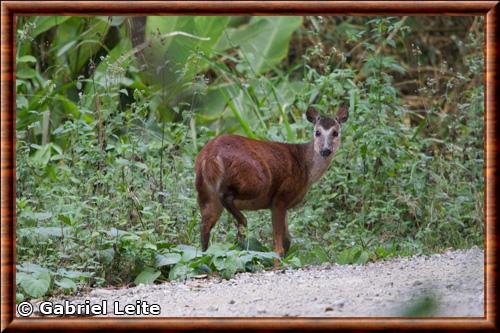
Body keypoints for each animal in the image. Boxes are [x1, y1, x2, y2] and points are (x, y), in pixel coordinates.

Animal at [195, 105, 348, 258]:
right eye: (317, 132)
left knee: (204, 226)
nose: (325, 150)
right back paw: (242, 227)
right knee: (225, 198)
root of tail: (209, 156)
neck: (306, 167)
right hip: (256, 181)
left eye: (335, 133)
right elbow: (279, 247)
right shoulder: (281, 197)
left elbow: (287, 241)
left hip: (205, 192)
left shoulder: (282, 205)